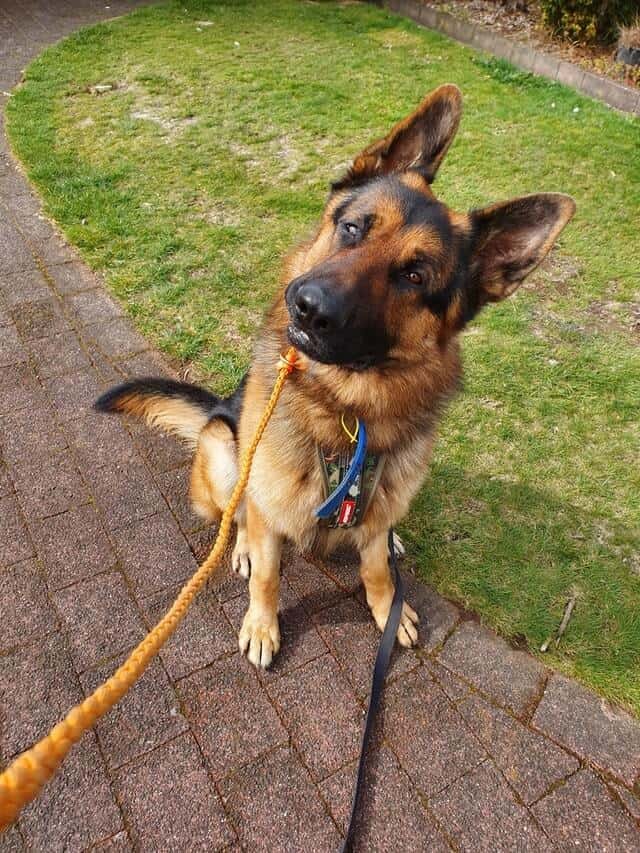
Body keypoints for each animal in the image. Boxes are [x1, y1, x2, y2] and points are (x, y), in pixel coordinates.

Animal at [97, 88, 576, 672]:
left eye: (414, 276)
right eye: (353, 228)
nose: (308, 308)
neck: (349, 416)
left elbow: (375, 569)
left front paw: (388, 605)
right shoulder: (270, 504)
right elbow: (268, 573)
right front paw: (263, 624)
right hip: (225, 451)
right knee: (238, 515)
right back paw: (241, 545)